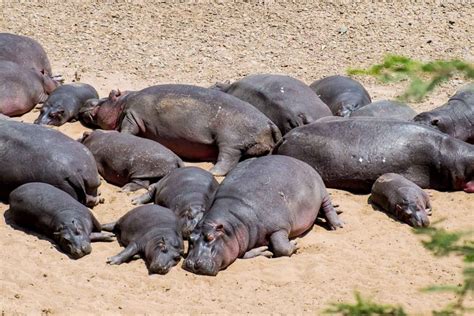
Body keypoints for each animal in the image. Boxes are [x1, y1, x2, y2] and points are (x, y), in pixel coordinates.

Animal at [76, 84, 280, 177]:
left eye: (110, 94)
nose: (89, 101)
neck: (122, 102)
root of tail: (269, 122)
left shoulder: (132, 115)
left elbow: (126, 130)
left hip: (229, 141)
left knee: (227, 159)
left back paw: (213, 171)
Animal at [183, 156, 342, 276]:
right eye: (190, 239)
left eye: (210, 238)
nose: (191, 264)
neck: (233, 223)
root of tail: (298, 160)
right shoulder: (238, 240)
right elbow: (243, 254)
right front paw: (264, 251)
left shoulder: (279, 227)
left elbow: (281, 247)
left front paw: (294, 244)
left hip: (321, 191)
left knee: (327, 206)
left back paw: (337, 225)